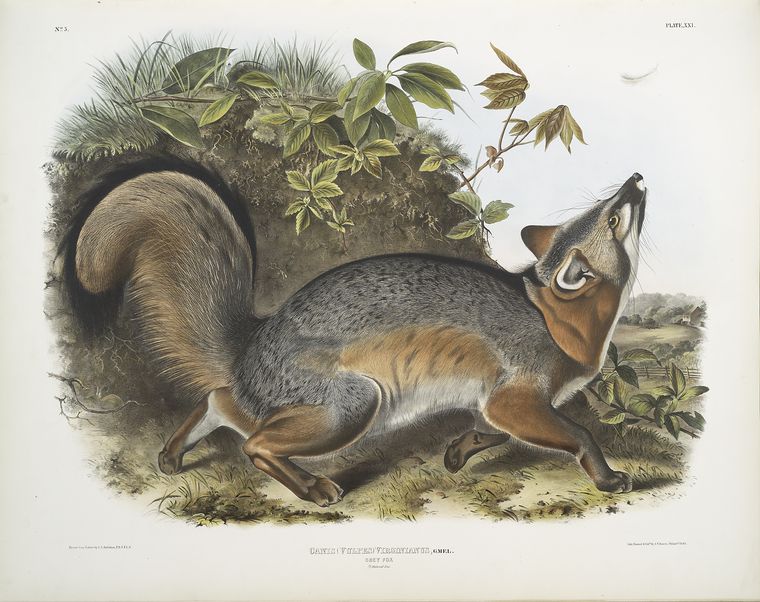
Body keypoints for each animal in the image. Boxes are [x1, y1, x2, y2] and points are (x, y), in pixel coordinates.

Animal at [65, 162, 646, 507]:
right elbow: (579, 433)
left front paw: (459, 452)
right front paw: (606, 477)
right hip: (354, 406)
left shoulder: (498, 401)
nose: (636, 178)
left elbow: (493, 431)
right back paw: (312, 487)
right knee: (253, 441)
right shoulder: (515, 397)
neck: (555, 318)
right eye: (613, 216)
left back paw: (173, 452)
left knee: (220, 400)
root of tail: (256, 339)